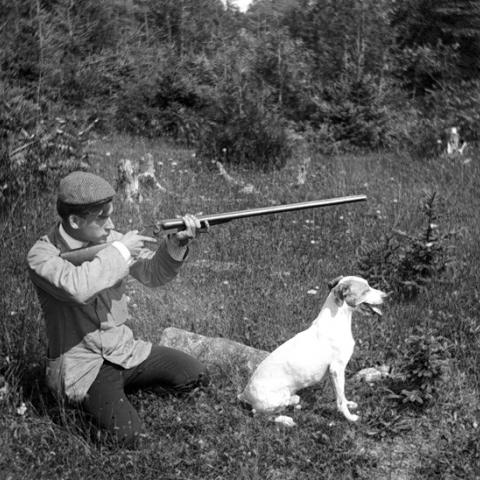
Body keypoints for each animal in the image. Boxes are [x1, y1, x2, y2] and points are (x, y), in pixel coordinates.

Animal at [238, 276, 388, 426]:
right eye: (366, 290)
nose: (386, 296)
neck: (336, 321)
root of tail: (244, 394)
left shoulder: (335, 373)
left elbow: (341, 395)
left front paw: (349, 403)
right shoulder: (337, 369)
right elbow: (340, 400)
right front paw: (350, 417)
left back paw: (292, 400)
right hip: (273, 400)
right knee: (259, 415)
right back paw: (285, 420)